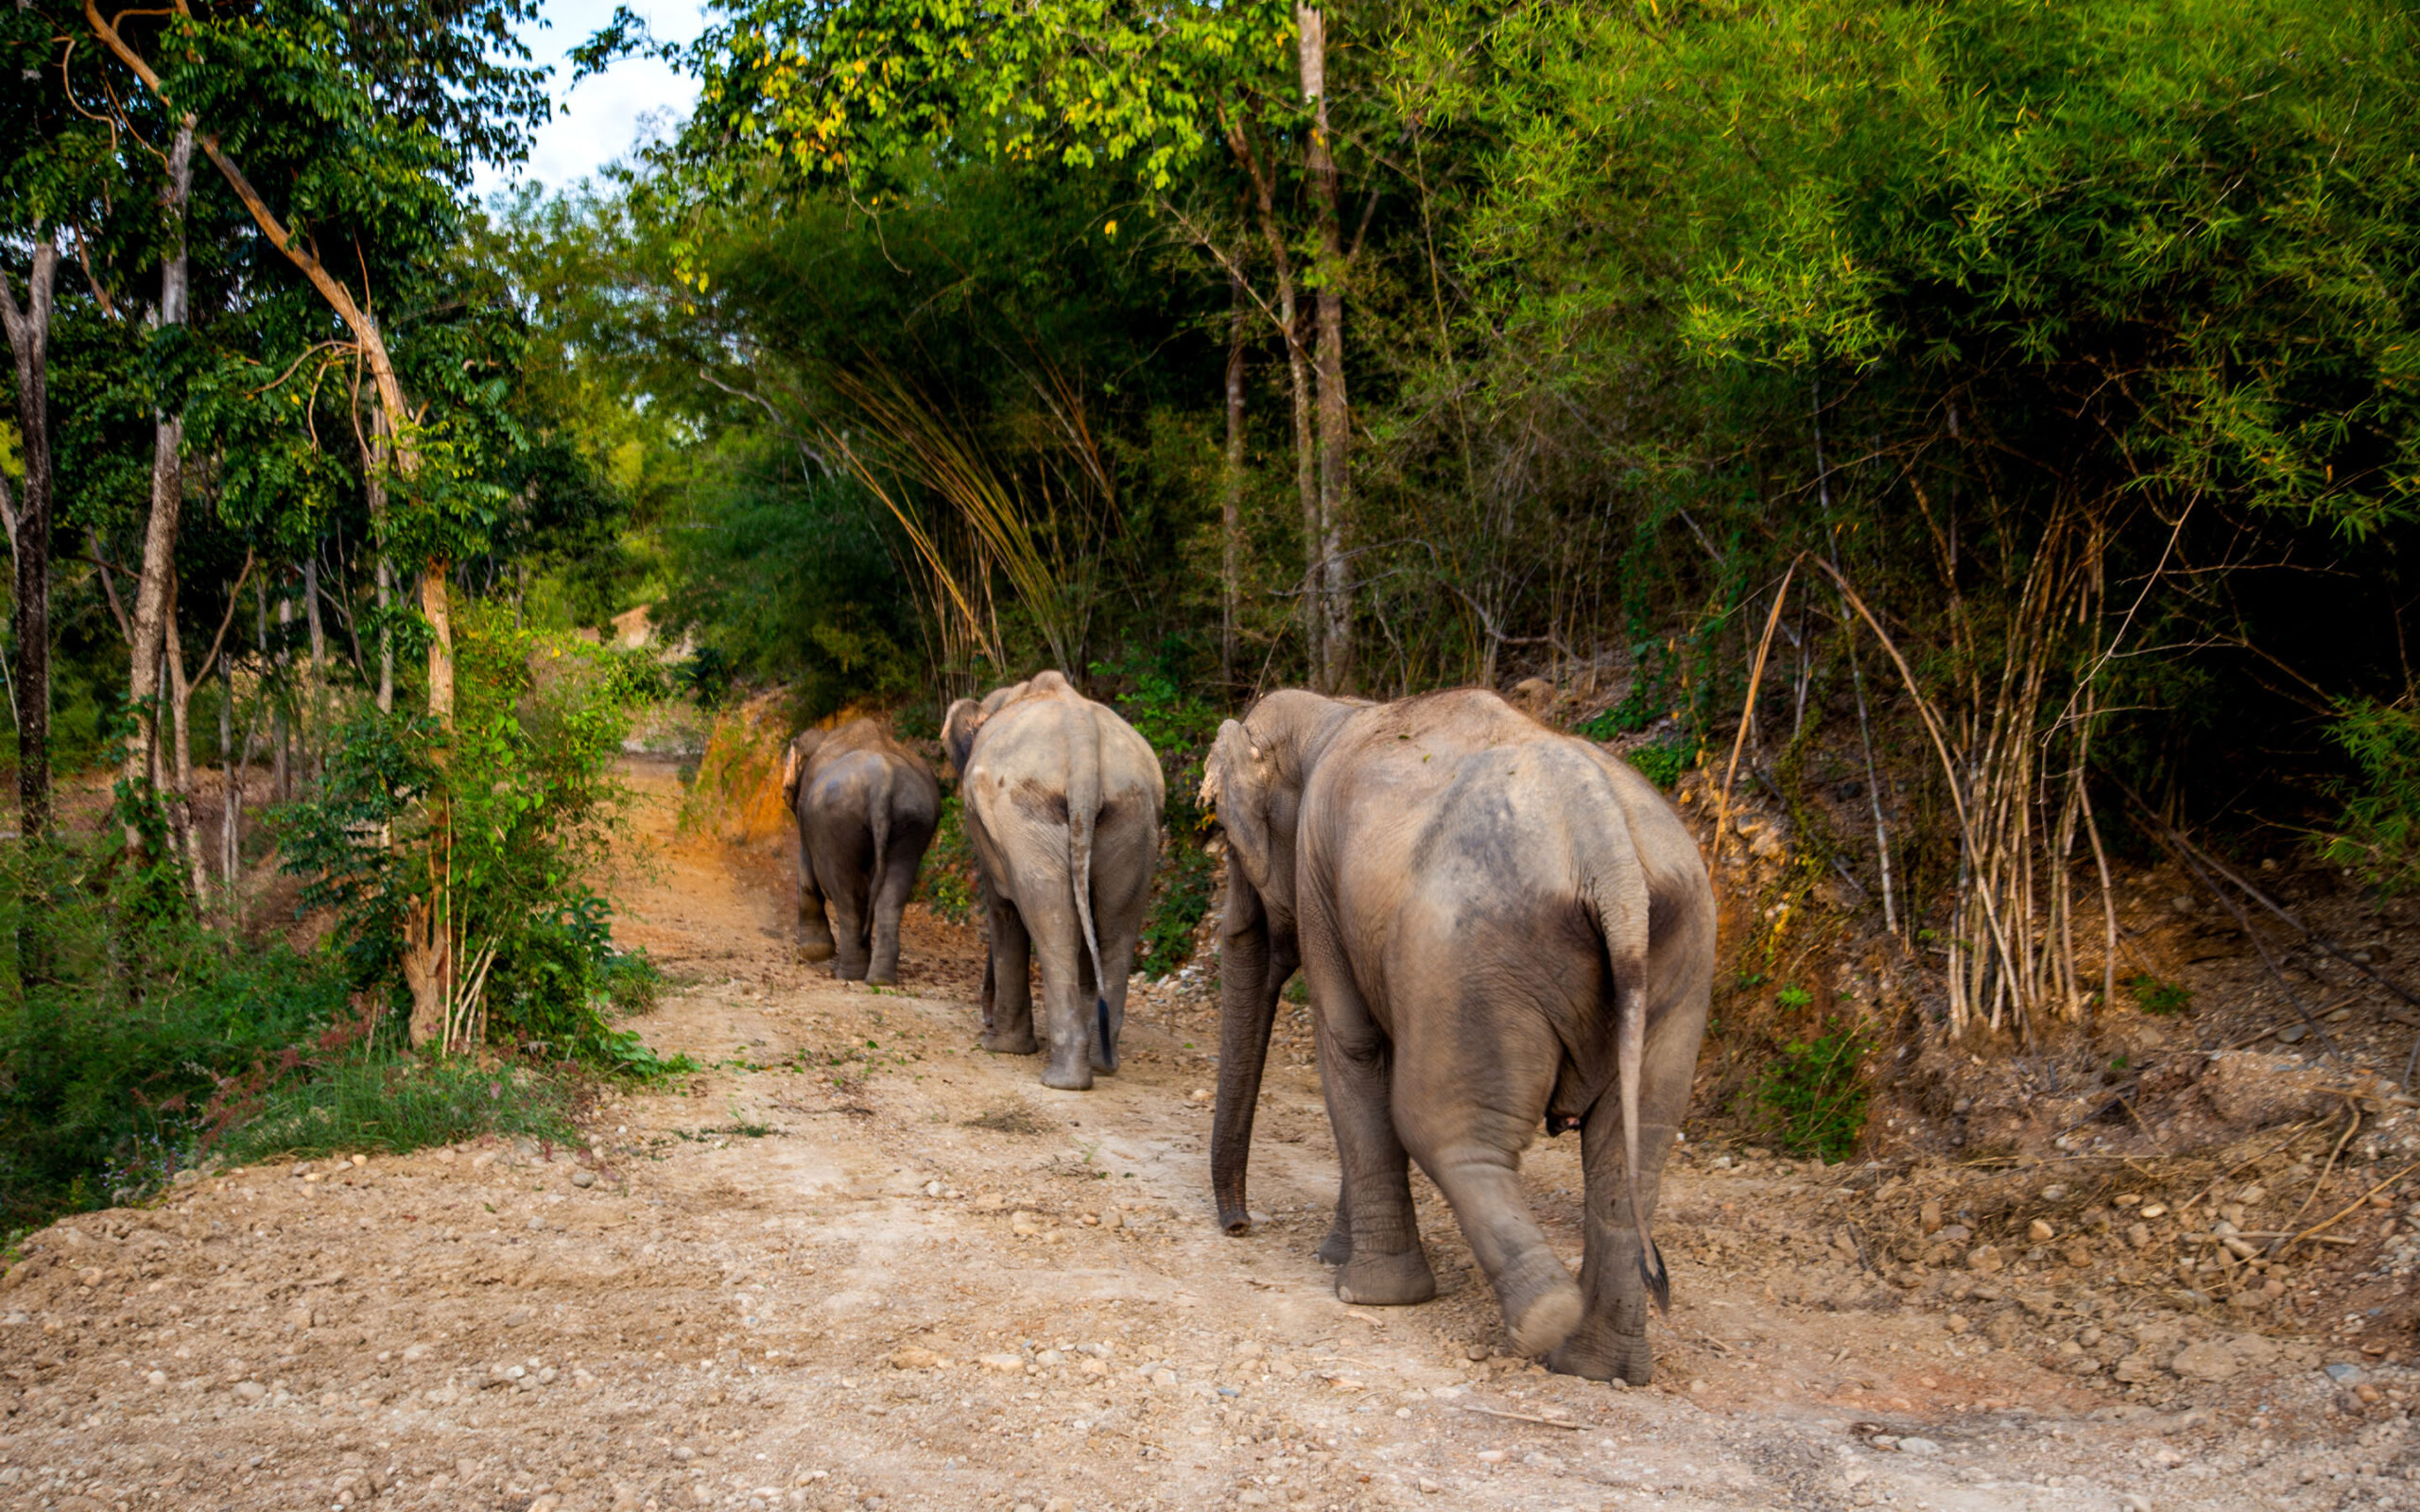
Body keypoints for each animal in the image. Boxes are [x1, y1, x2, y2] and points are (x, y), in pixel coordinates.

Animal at [780, 717, 941, 985]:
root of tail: (882, 786)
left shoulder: (805, 814)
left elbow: (808, 875)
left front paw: (812, 953)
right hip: (912, 823)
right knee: (891, 896)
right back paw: (879, 980)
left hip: (837, 823)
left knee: (847, 895)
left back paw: (848, 973)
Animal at [941, 671, 1165, 1091]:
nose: (985, 1018)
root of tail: (1083, 743)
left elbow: (1003, 908)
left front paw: (999, 1047)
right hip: (1134, 817)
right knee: (1114, 928)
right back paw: (1101, 1062)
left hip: (1025, 814)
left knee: (1050, 922)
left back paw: (1063, 1079)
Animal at [1200, 687, 1714, 1382]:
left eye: (1228, 841)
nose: (1240, 1226)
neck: (1337, 709)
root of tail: (1607, 852)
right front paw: (1337, 1256)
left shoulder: (1318, 876)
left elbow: (1353, 1046)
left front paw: (1361, 1288)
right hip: (1679, 964)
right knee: (1628, 1154)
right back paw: (1595, 1366)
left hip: (1473, 956)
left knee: (1441, 1125)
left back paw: (1547, 1315)